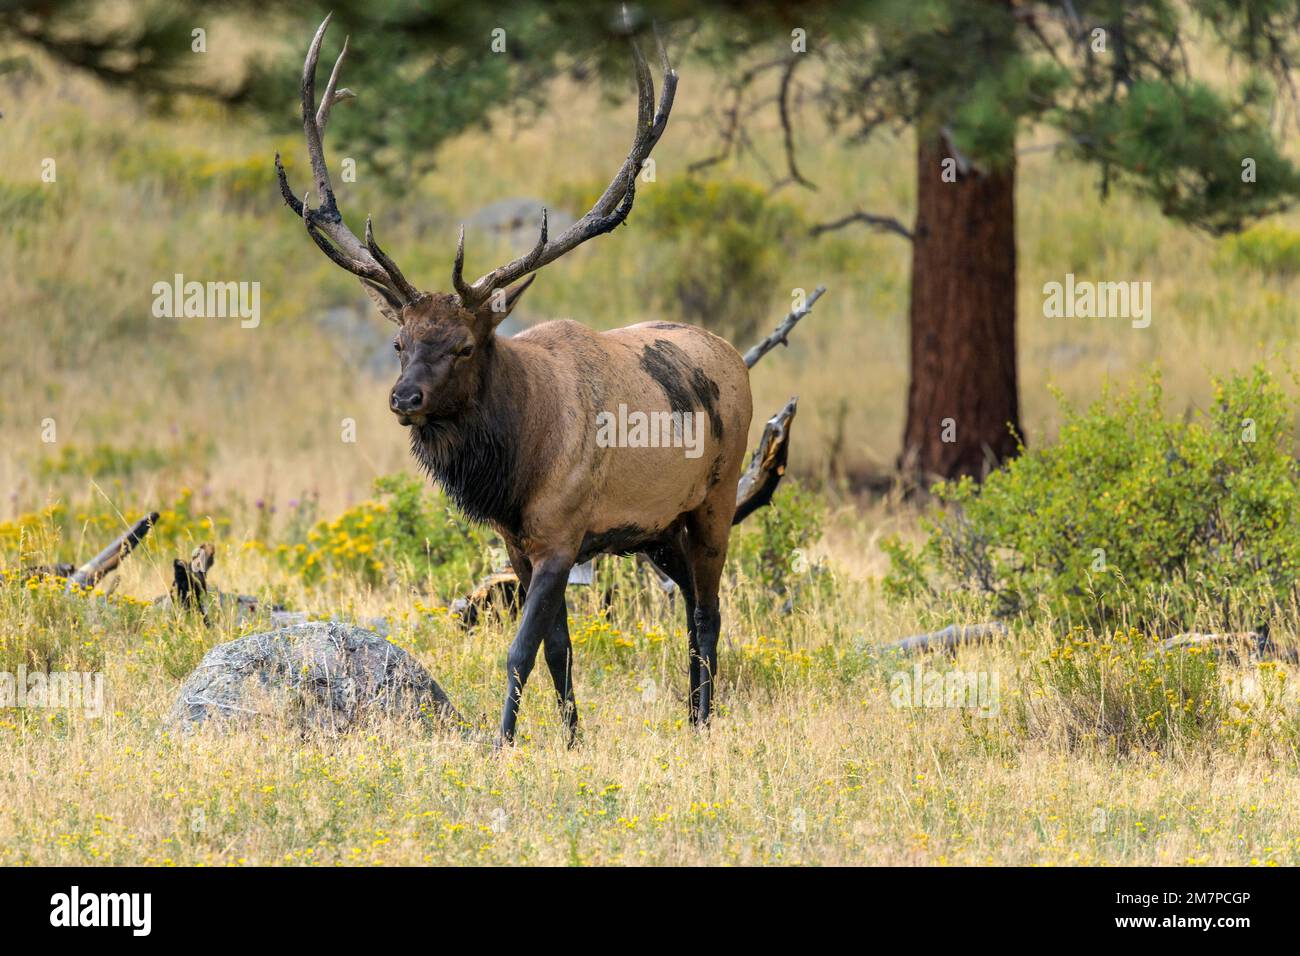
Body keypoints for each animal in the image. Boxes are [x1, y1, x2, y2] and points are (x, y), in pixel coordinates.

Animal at [279, 16, 759, 749]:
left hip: (717, 496)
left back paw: (702, 722)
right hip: (657, 530)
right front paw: (572, 738)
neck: (516, 463)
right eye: (399, 343)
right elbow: (559, 649)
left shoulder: (563, 532)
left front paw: (504, 741)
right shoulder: (521, 542)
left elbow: (520, 649)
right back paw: (691, 714)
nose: (404, 398)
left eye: (464, 346)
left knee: (708, 611)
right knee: (691, 606)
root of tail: (733, 355)